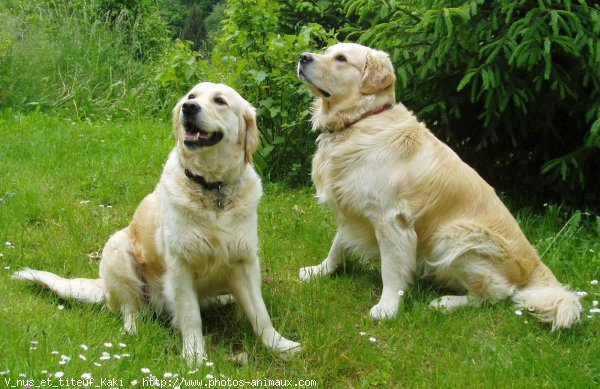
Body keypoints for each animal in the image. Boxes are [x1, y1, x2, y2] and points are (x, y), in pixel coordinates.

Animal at [15, 82, 300, 364]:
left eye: (220, 100)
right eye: (191, 96)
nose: (189, 107)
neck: (213, 190)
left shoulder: (245, 259)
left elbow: (260, 313)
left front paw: (280, 346)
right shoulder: (180, 264)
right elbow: (190, 315)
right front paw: (194, 357)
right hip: (116, 248)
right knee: (130, 308)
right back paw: (133, 330)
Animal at [298, 41, 580, 328]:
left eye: (341, 59)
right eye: (326, 51)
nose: (303, 57)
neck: (362, 119)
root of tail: (535, 263)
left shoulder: (391, 219)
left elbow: (391, 270)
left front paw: (387, 308)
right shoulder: (351, 205)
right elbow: (338, 244)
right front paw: (320, 270)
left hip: (455, 236)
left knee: (494, 295)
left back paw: (445, 303)